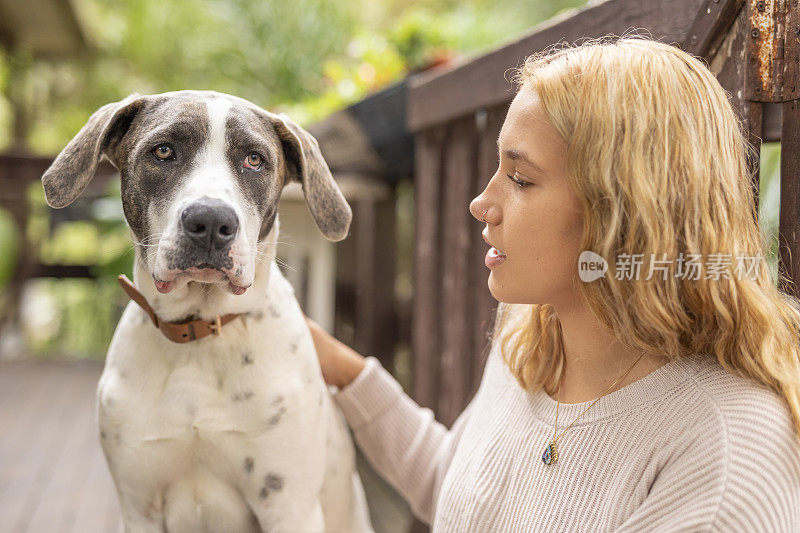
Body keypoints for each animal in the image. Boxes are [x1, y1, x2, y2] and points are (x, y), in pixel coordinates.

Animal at [43, 89, 378, 528]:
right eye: (163, 151)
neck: (200, 333)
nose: (211, 222)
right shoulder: (139, 508)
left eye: (254, 159)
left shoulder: (289, 506)